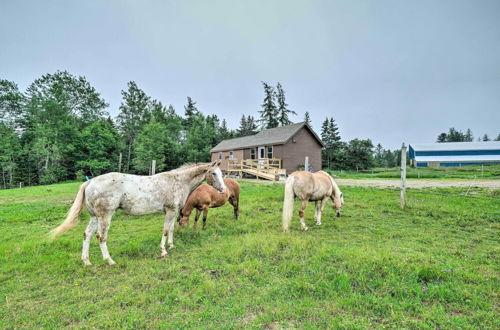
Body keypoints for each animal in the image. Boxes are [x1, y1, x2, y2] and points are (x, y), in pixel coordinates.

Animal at [49, 160, 226, 266]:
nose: (223, 190)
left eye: (222, 173)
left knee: (87, 235)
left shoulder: (174, 211)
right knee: (101, 236)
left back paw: (86, 261)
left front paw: (171, 245)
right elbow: (166, 230)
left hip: (94, 216)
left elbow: (171, 229)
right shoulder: (170, 210)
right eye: (213, 173)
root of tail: (90, 182)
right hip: (105, 216)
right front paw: (163, 251)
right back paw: (109, 260)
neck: (178, 181)